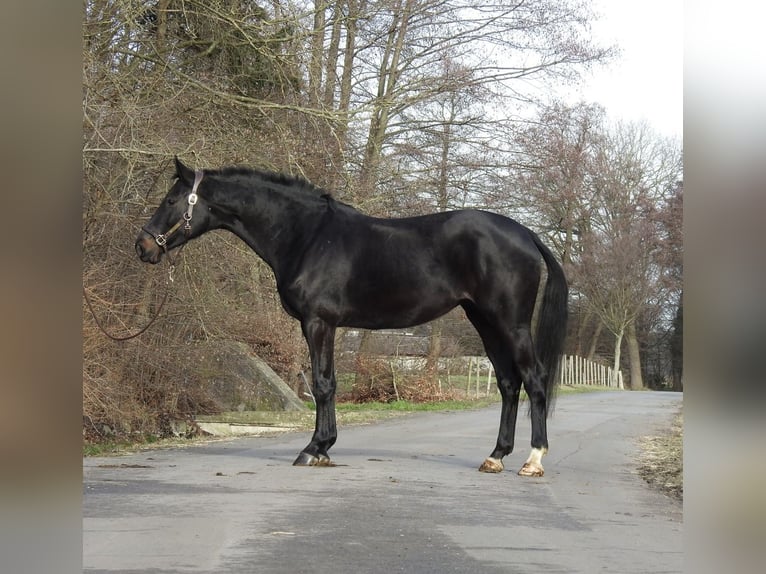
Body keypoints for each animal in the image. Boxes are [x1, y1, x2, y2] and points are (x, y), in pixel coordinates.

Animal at [136, 157, 568, 476]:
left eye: (171, 200)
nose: (143, 246)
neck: (307, 236)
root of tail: (526, 234)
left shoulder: (318, 322)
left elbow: (323, 383)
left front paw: (315, 448)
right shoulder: (322, 324)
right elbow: (327, 383)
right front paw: (323, 447)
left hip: (510, 323)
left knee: (534, 379)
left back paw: (533, 460)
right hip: (484, 321)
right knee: (509, 383)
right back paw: (495, 456)